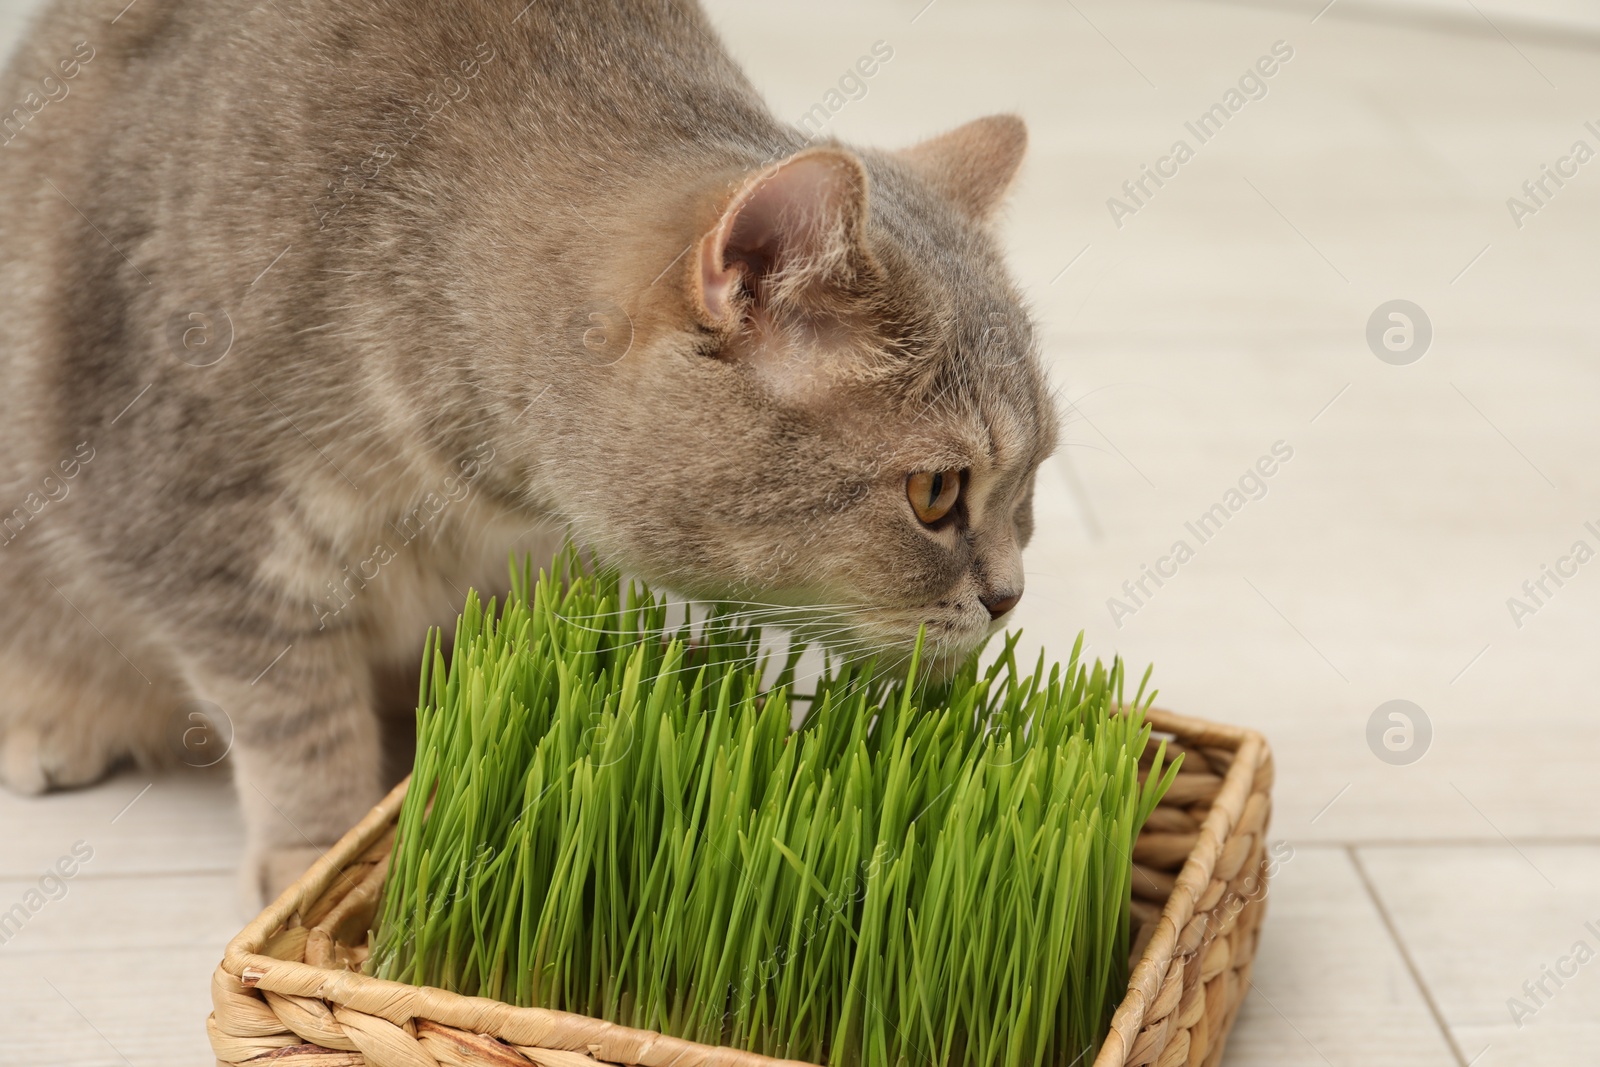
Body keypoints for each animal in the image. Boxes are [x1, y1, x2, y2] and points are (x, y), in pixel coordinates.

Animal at [3, 0, 1062, 902]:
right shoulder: (197, 529)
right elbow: (296, 715)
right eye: (935, 492)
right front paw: (318, 854)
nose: (1010, 596)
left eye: (1035, 479)